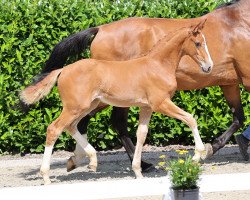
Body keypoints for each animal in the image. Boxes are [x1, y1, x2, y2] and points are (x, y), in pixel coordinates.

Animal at [21, 20, 213, 184]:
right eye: (198, 43)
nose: (209, 66)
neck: (158, 65)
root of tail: (63, 69)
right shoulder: (161, 103)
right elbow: (190, 118)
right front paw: (198, 155)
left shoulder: (146, 107)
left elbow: (141, 134)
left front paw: (138, 171)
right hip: (75, 107)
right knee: (54, 128)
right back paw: (46, 176)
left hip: (85, 106)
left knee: (71, 126)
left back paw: (90, 160)